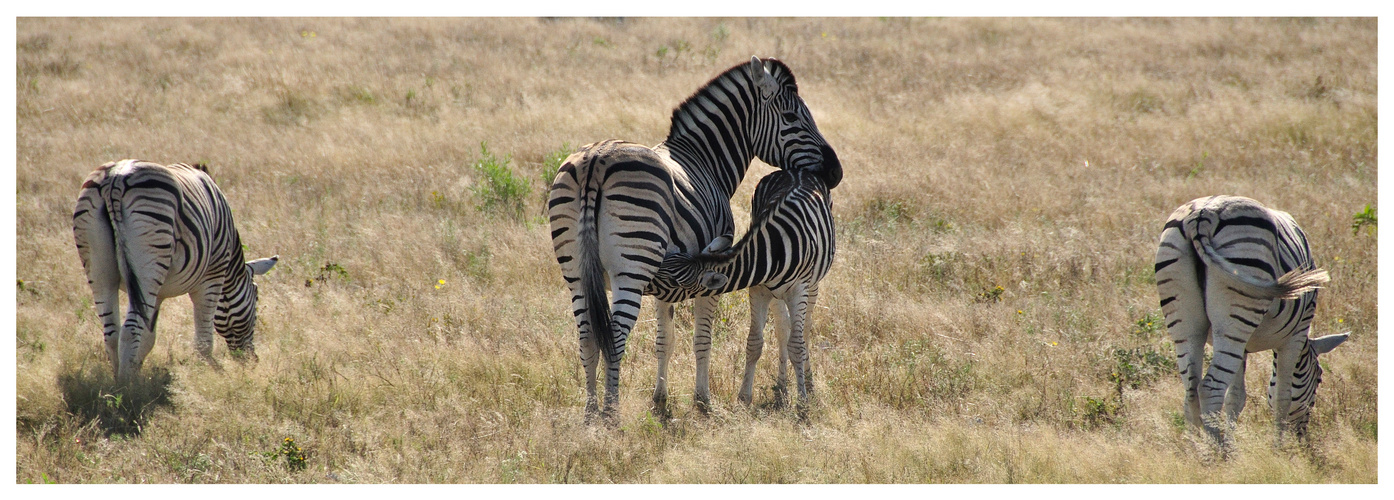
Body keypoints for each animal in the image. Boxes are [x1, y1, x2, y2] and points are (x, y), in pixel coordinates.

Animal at [72, 160, 278, 384]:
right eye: (256, 299)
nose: (252, 361)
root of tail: (115, 178)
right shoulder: (212, 277)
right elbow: (203, 342)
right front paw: (215, 375)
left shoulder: (158, 294)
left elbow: (148, 338)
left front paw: (137, 369)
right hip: (149, 256)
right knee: (130, 330)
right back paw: (127, 387)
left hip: (99, 264)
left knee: (112, 333)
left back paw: (120, 381)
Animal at [646, 168, 830, 406]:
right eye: (667, 262)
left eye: (674, 281)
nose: (644, 278)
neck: (771, 252)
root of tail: (794, 170)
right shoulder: (759, 289)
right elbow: (754, 343)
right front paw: (744, 397)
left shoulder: (799, 290)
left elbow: (797, 346)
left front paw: (803, 403)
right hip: (777, 295)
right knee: (782, 329)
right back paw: (781, 389)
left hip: (812, 285)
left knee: (804, 331)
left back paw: (808, 384)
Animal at [1148, 193, 1343, 445]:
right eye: (1319, 379)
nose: (1302, 438)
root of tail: (1201, 215)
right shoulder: (1295, 336)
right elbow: (1282, 396)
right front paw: (1279, 448)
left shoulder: (1243, 347)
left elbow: (1236, 397)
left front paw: (1232, 445)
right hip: (1238, 309)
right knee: (1210, 388)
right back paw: (1215, 450)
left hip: (1188, 320)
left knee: (1191, 391)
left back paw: (1196, 449)